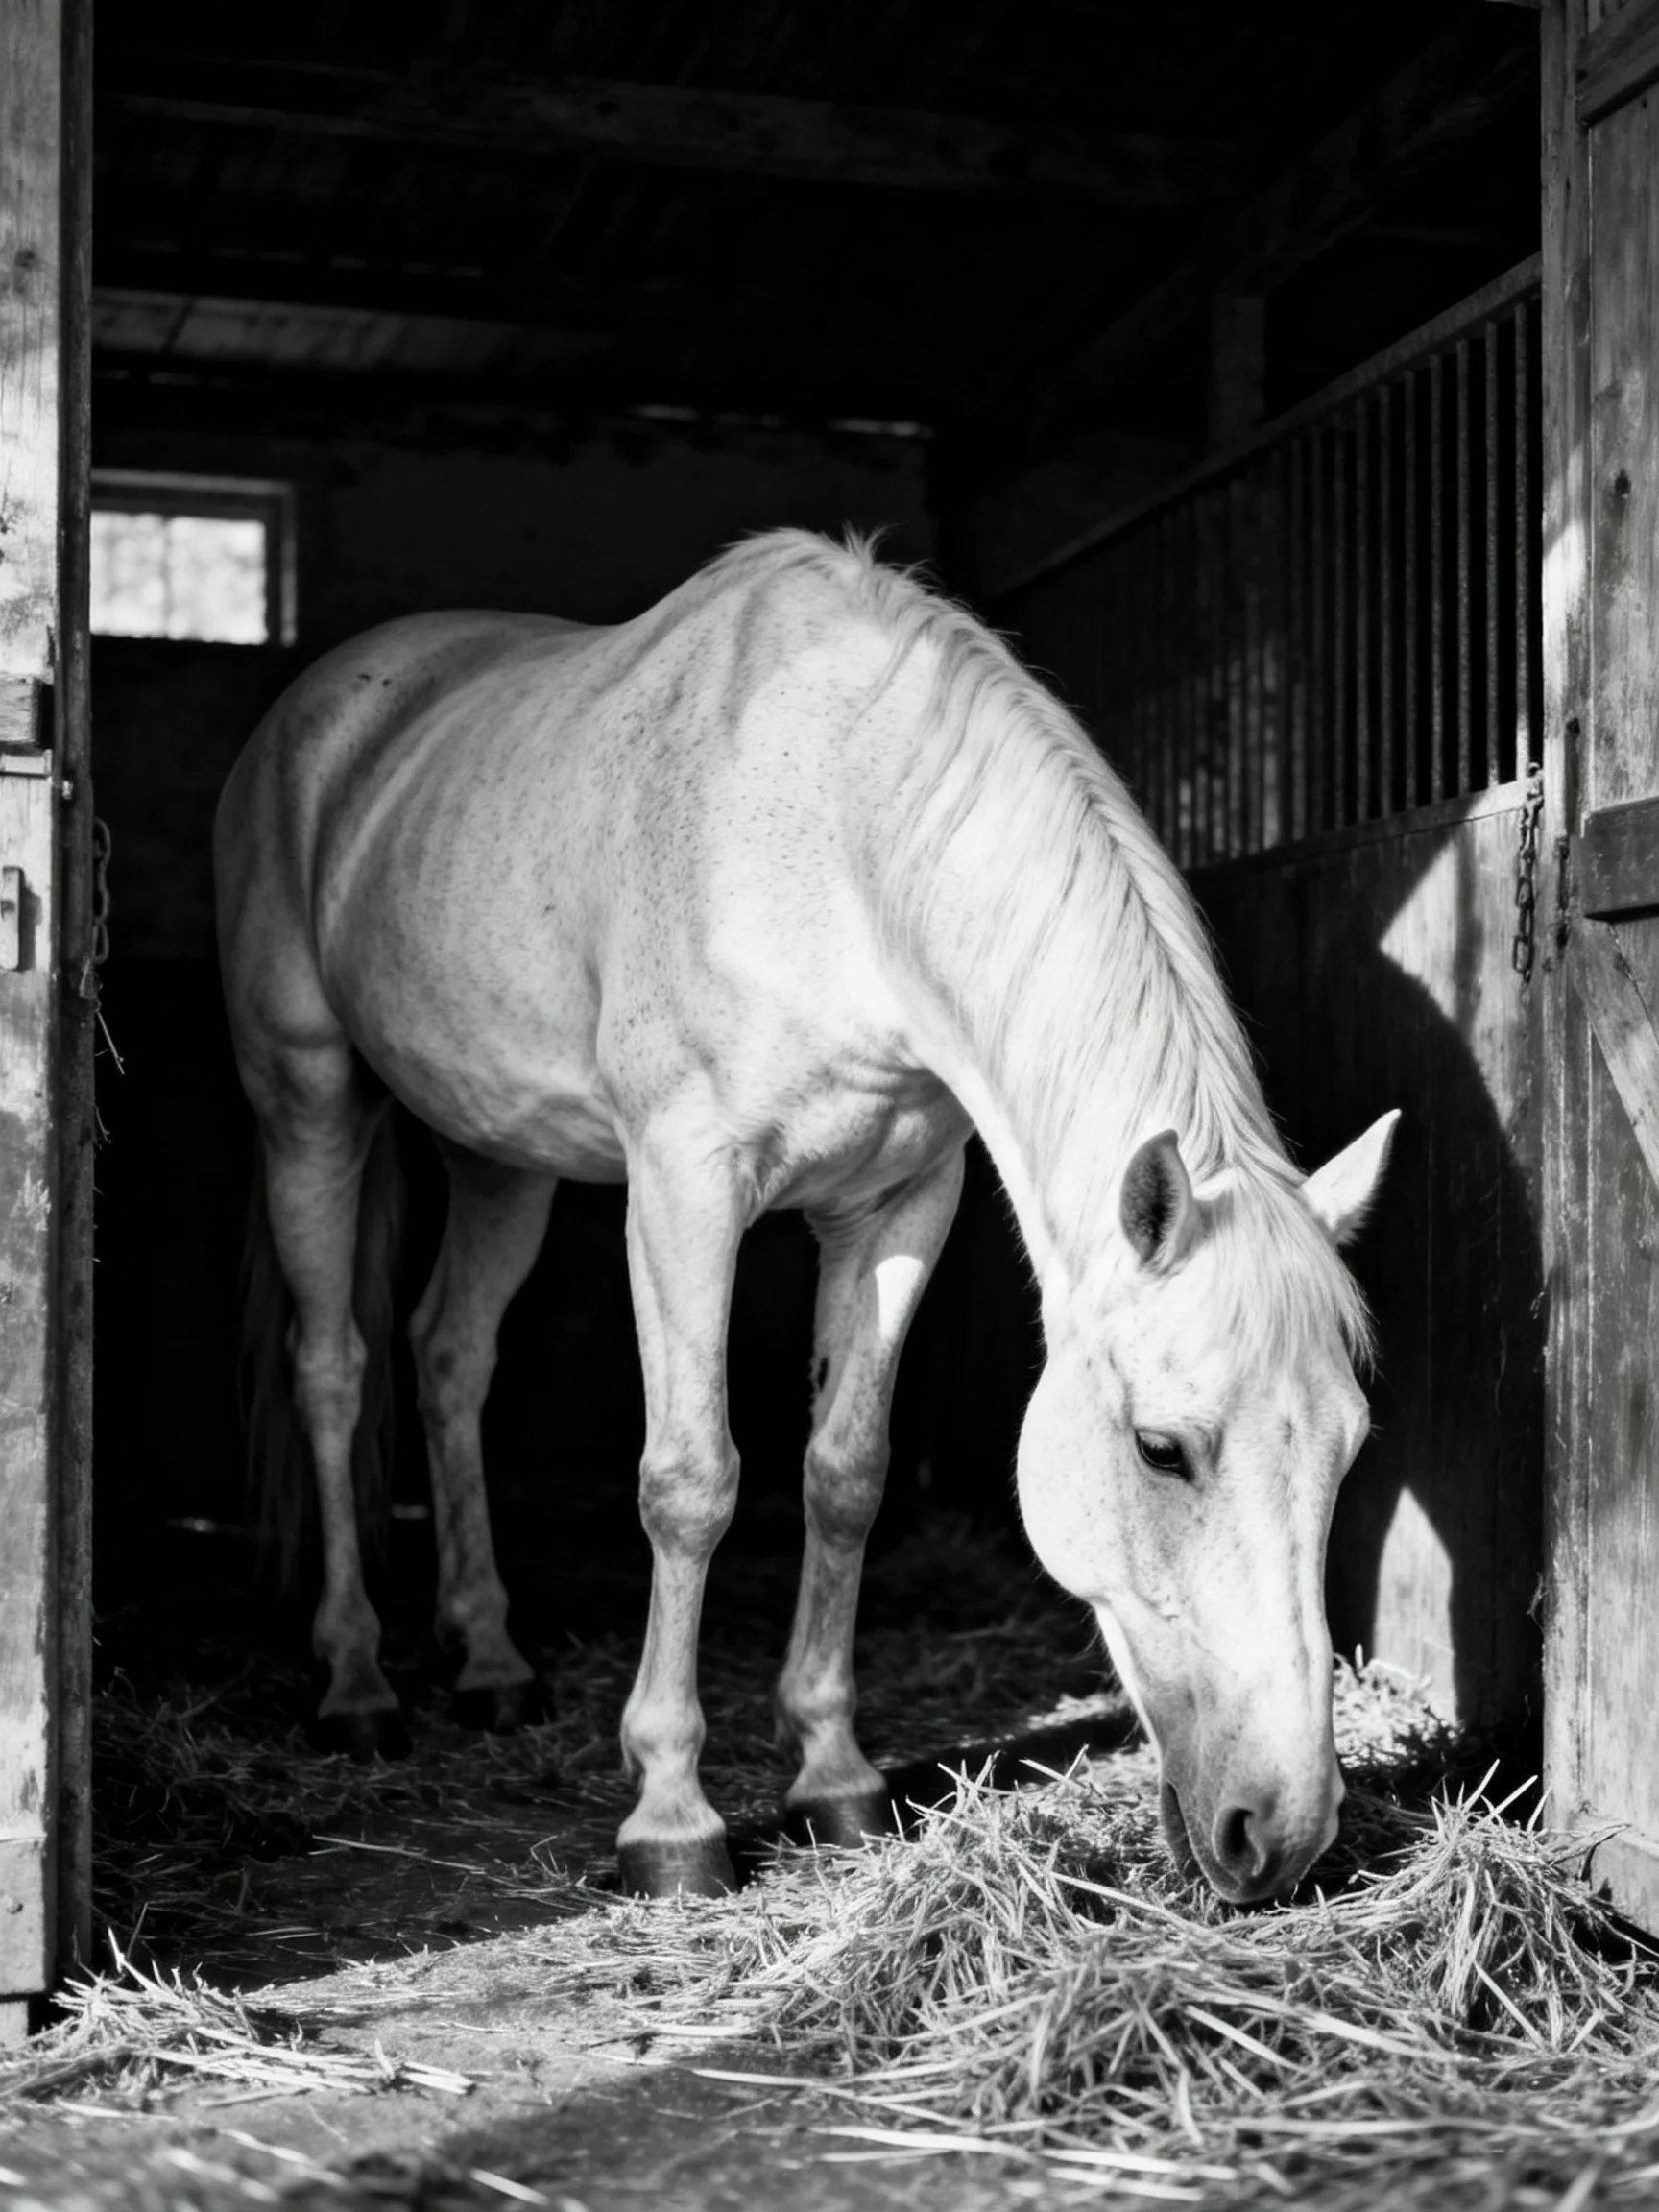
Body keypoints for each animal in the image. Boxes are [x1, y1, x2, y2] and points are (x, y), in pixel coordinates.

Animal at [214, 528, 1397, 1905]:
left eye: (1348, 1447)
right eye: (1162, 1449)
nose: (1286, 1834)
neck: (836, 835)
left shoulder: (894, 1207)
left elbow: (844, 1474)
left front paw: (835, 1778)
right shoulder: (684, 1186)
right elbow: (691, 1482)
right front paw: (671, 1818)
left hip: (498, 1154)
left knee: (450, 1357)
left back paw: (492, 1661)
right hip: (308, 1097)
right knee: (334, 1369)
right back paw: (356, 1683)